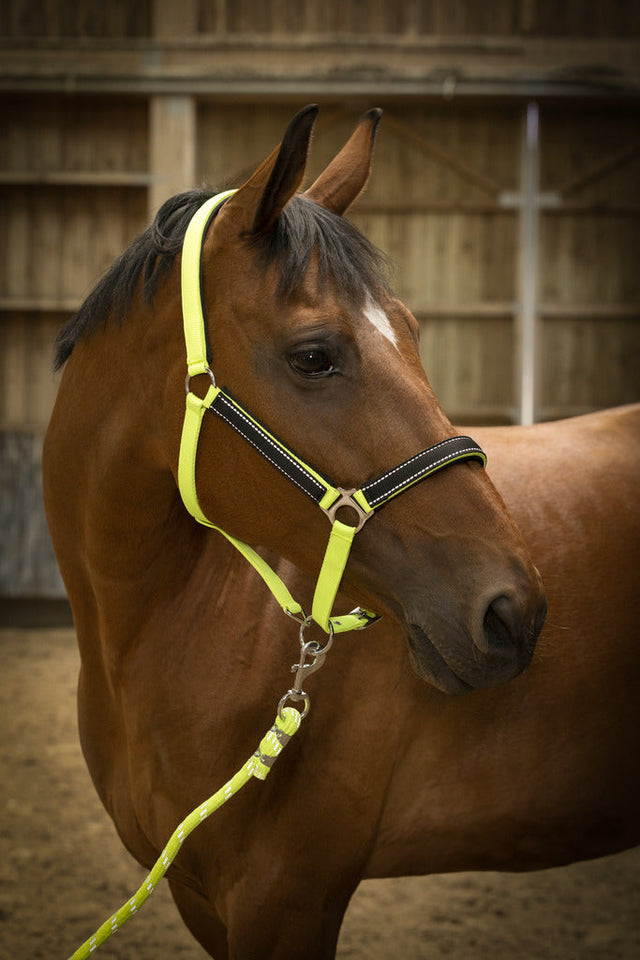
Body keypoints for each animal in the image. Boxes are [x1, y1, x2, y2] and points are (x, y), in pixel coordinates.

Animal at [42, 105, 636, 960]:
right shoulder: (201, 898)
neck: (163, 628)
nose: (512, 611)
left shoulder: (287, 897)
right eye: (314, 355)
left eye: (415, 333)